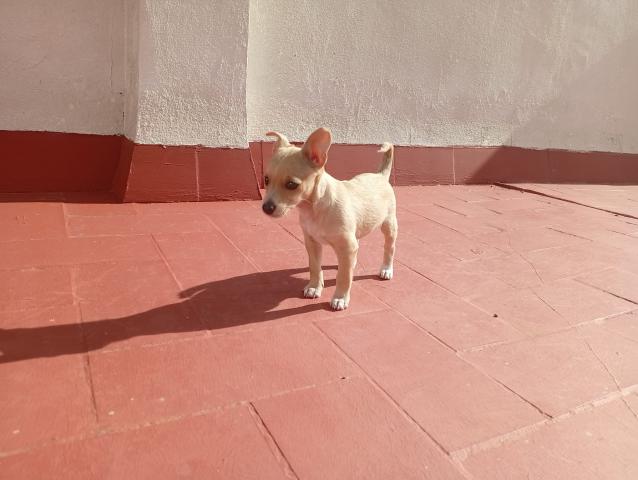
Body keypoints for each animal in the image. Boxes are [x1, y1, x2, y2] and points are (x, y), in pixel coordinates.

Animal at [261, 127, 397, 310]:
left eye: (291, 185)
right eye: (266, 179)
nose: (266, 208)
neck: (313, 209)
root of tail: (381, 175)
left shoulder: (346, 245)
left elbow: (343, 277)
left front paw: (340, 298)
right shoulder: (312, 243)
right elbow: (314, 267)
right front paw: (314, 287)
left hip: (389, 225)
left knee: (389, 248)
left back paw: (386, 269)